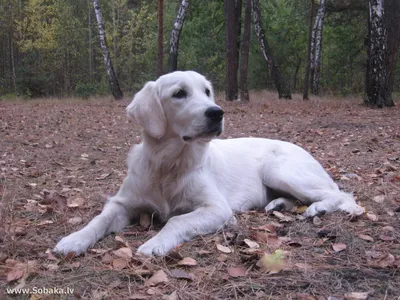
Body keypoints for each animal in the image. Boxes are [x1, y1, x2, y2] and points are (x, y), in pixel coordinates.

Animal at [52, 70, 362, 255]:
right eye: (179, 93)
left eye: (207, 92)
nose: (217, 112)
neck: (169, 163)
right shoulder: (123, 202)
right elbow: (99, 219)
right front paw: (74, 239)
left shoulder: (217, 209)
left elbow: (176, 220)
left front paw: (155, 244)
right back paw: (277, 204)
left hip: (279, 170)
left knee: (341, 195)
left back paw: (319, 208)